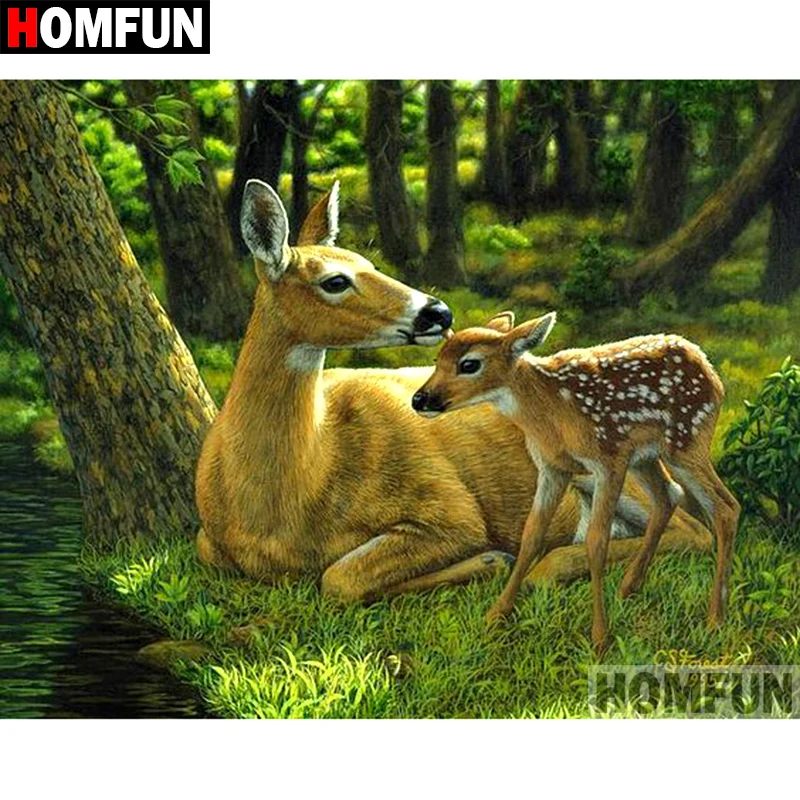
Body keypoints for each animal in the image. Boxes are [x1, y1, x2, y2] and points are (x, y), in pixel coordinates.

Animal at [196, 180, 712, 609]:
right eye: (336, 280)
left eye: (371, 264)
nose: (438, 312)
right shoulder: (207, 543)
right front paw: (490, 562)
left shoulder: (449, 509)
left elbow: (339, 577)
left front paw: (489, 560)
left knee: (691, 527)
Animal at [412, 311, 739, 651]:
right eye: (437, 359)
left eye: (469, 364)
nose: (420, 399)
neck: (551, 413)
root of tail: (708, 367)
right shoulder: (552, 467)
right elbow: (531, 535)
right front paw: (496, 615)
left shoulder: (608, 460)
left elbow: (597, 541)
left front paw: (599, 638)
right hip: (646, 456)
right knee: (669, 496)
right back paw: (628, 588)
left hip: (687, 439)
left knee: (725, 507)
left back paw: (715, 619)